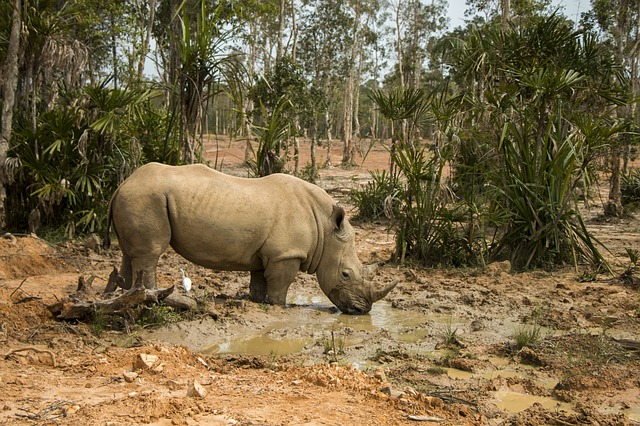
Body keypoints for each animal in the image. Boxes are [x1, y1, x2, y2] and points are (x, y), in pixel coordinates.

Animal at [106, 162, 396, 314]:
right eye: (346, 274)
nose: (363, 310)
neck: (325, 229)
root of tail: (122, 184)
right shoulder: (286, 254)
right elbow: (280, 285)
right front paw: (279, 307)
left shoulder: (267, 253)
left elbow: (259, 280)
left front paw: (257, 302)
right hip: (146, 197)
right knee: (149, 254)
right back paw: (153, 299)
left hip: (136, 197)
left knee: (128, 253)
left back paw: (123, 294)